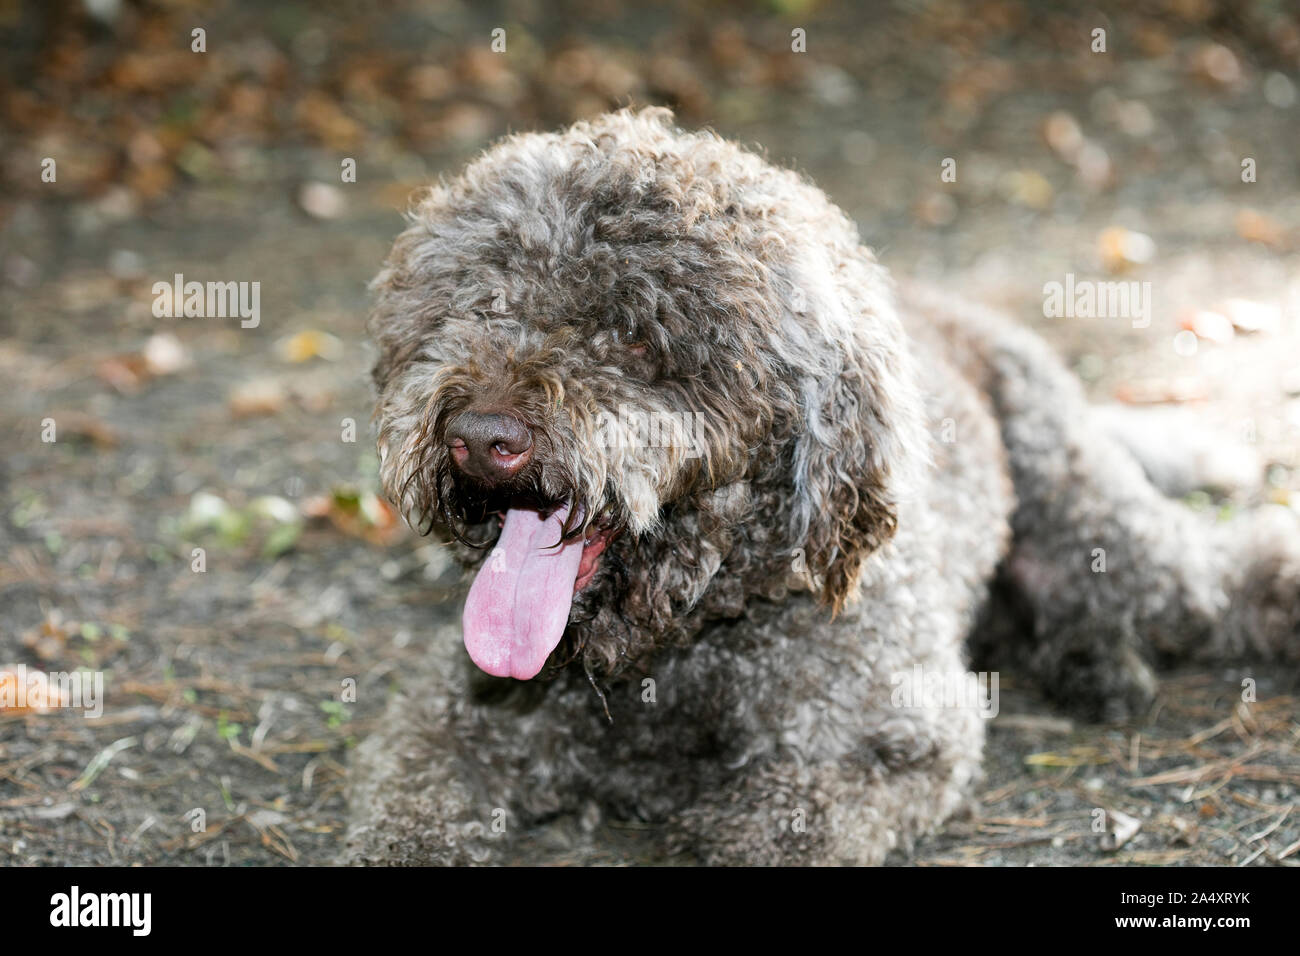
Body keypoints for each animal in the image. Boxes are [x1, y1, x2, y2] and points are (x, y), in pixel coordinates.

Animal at [345, 108, 1300, 863]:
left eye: (640, 337)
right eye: (475, 307)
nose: (481, 436)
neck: (681, 645)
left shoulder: (887, 745)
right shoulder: (448, 726)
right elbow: (406, 818)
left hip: (1104, 533)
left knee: (1228, 575)